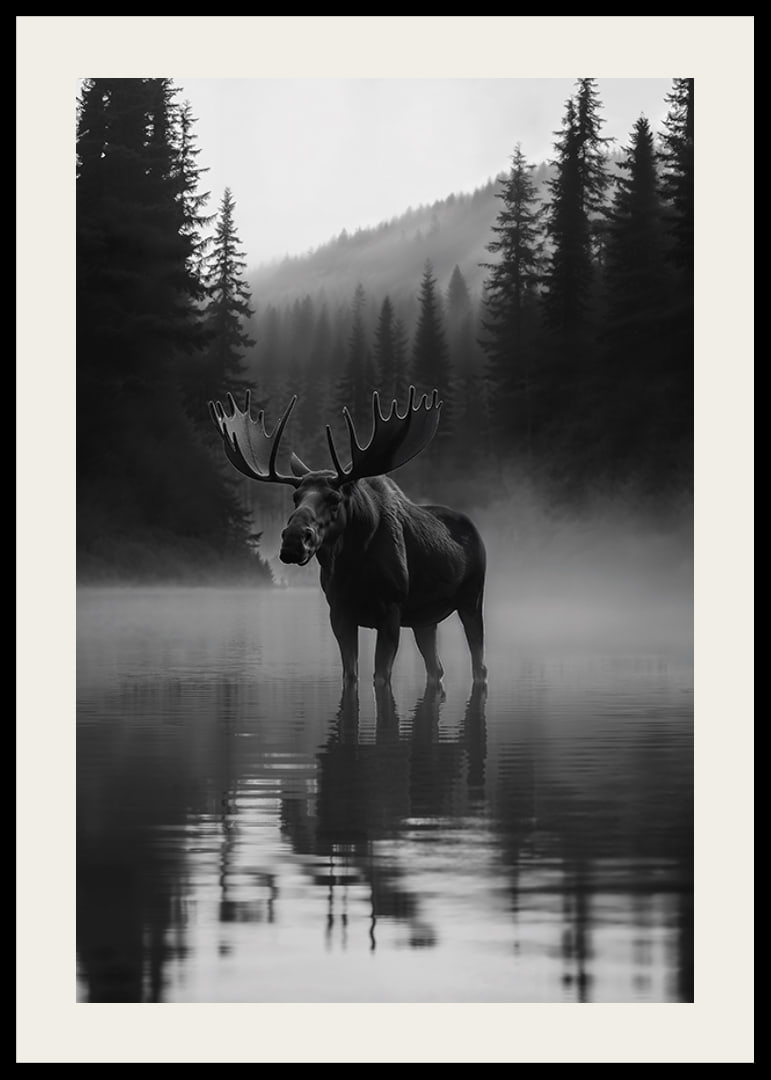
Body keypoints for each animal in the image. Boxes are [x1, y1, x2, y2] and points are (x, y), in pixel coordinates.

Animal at [209, 387, 487, 689]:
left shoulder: (391, 611)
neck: (351, 564)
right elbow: (350, 676)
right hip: (425, 618)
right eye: (295, 497)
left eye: (334, 498)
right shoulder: (340, 612)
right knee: (436, 668)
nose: (294, 541)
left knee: (479, 666)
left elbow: (380, 677)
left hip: (472, 600)